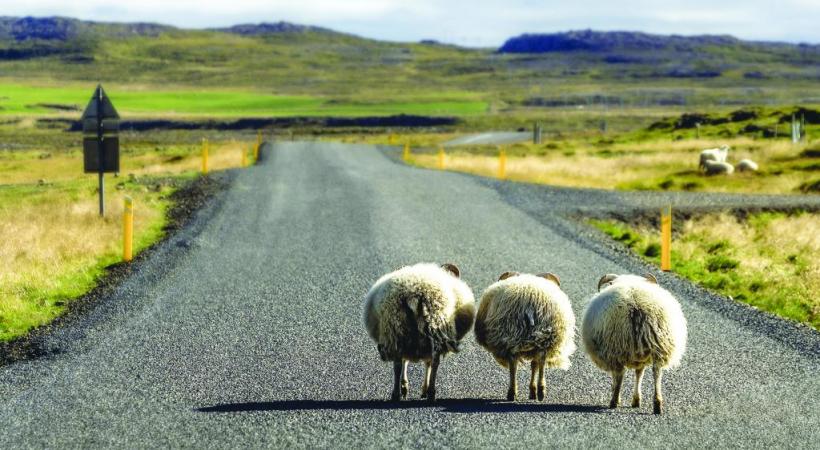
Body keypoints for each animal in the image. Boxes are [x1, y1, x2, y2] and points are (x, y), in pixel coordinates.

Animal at [363, 263, 476, 402]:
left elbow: (409, 361)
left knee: (398, 363)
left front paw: (408, 388)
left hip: (396, 330)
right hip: (431, 327)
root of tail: (414, 294)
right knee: (433, 361)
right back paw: (429, 393)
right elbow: (426, 363)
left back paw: (397, 393)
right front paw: (421, 390)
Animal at [475, 272, 576, 401]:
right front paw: (533, 391)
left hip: (514, 334)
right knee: (539, 361)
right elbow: (534, 365)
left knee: (515, 364)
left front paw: (532, 391)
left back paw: (514, 392)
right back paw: (540, 390)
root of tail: (530, 303)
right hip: (542, 336)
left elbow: (533, 365)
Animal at [581, 273, 687, 414]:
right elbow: (639, 374)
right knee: (657, 372)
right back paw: (657, 403)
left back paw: (614, 401)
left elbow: (619, 376)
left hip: (615, 345)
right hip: (660, 346)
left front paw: (625, 399)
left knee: (619, 373)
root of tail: (636, 306)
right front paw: (636, 401)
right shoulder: (640, 358)